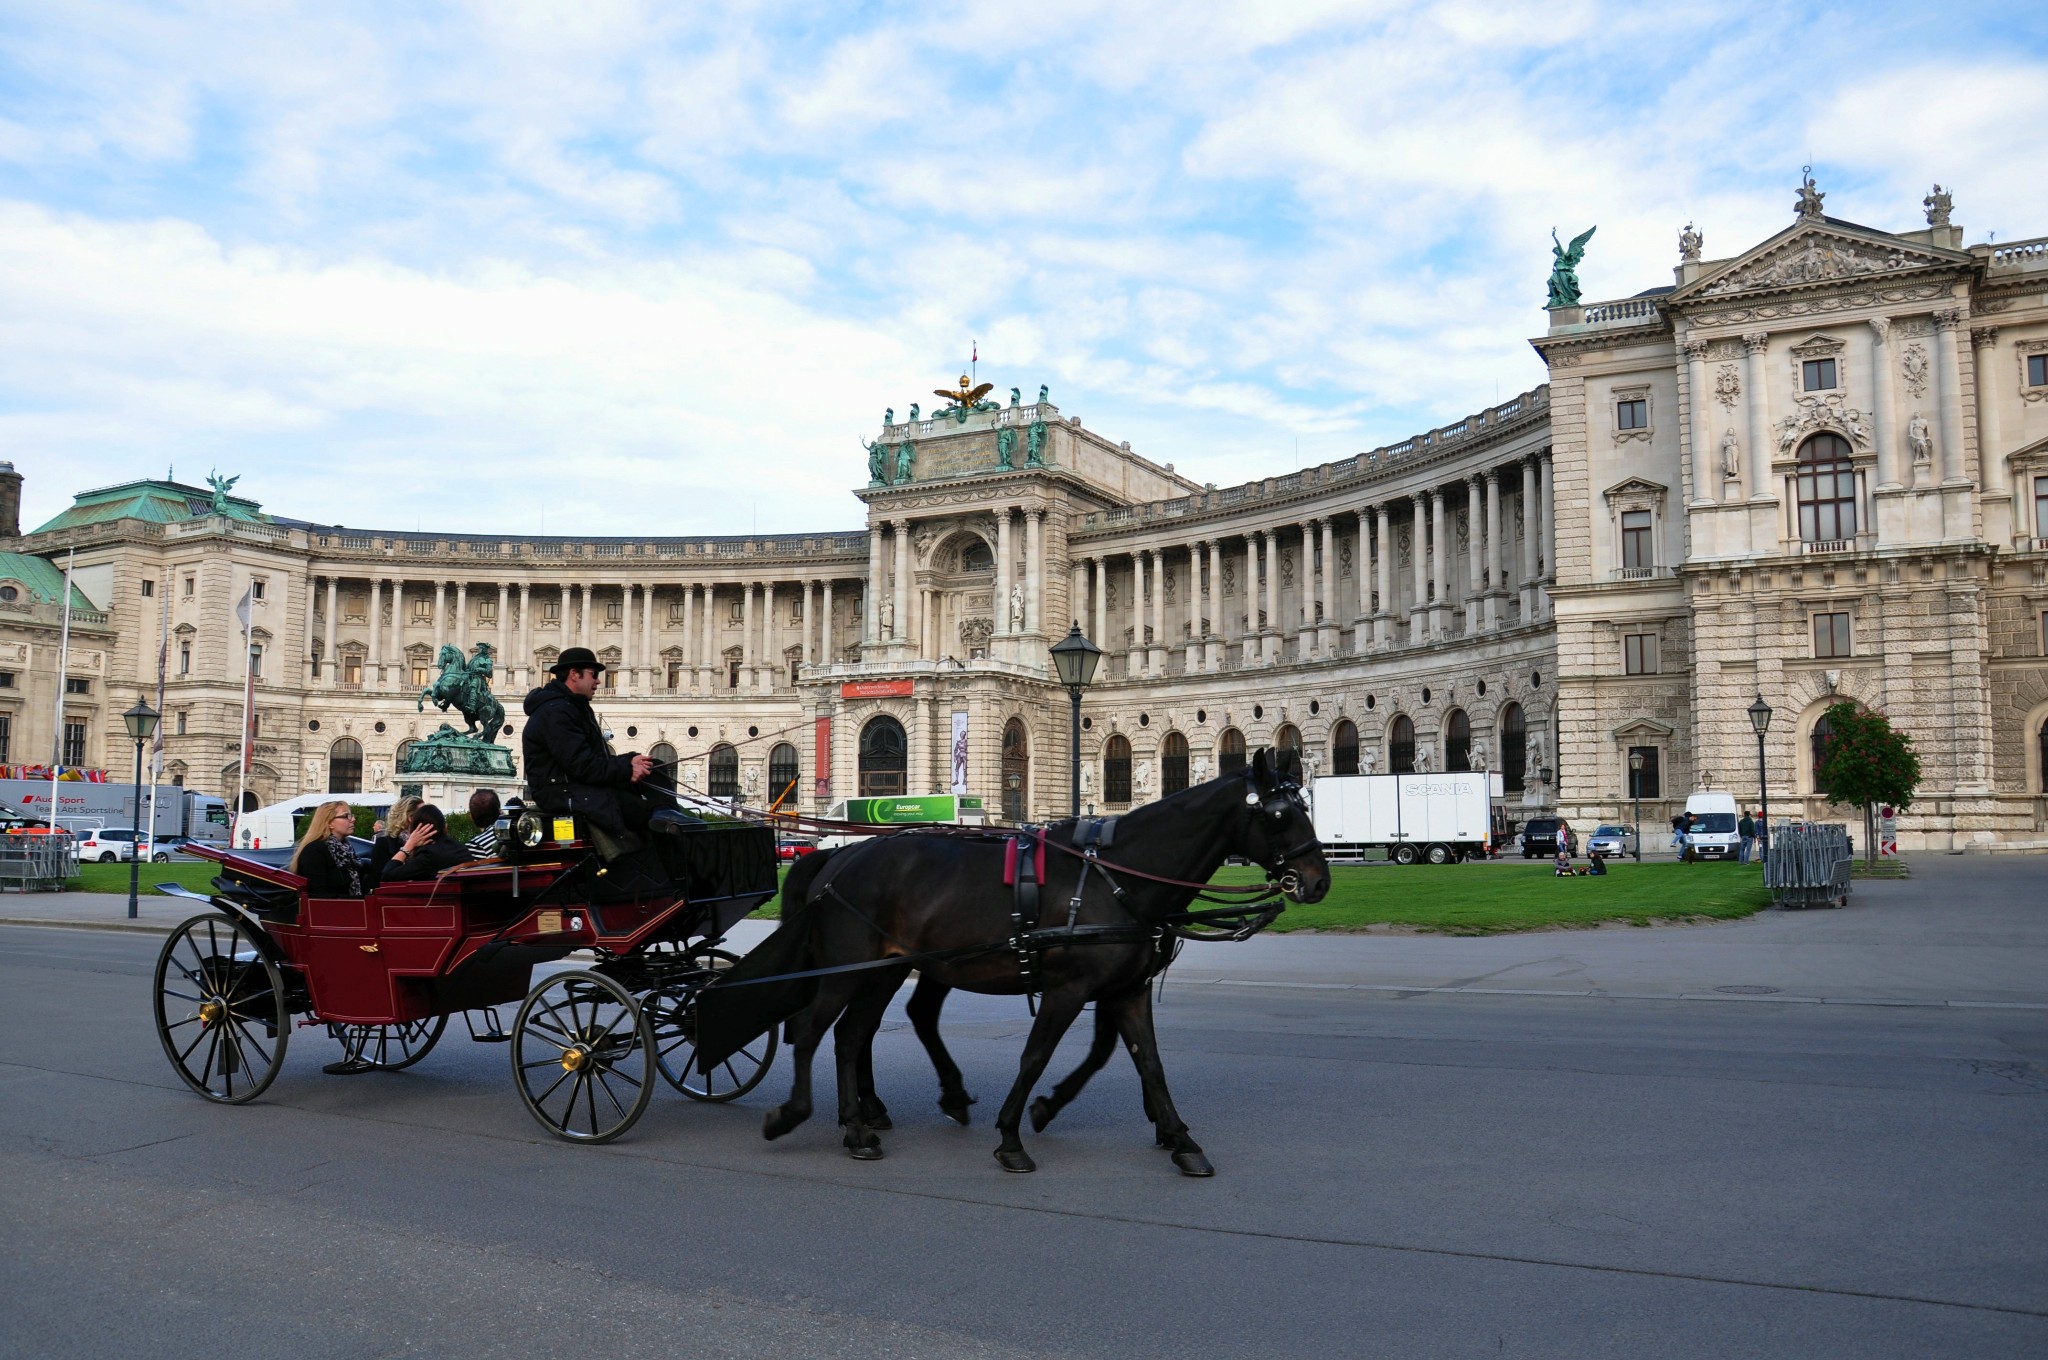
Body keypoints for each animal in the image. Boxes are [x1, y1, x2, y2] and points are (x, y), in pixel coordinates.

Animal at [753, 749, 1327, 1171]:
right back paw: (801, 1115)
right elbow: (1036, 1056)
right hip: (852, 969)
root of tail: (838, 857)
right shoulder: (1068, 990)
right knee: (815, 1029)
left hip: (886, 970)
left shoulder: (1129, 990)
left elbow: (1148, 1061)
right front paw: (1014, 1132)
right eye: (1280, 814)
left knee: (855, 1035)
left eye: (1305, 807)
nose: (1319, 881)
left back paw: (864, 1122)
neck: (1115, 876)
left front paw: (1180, 1138)